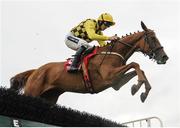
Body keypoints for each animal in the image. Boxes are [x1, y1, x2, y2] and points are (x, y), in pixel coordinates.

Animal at [10, 21, 169, 104]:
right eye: (153, 38)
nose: (164, 57)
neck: (113, 53)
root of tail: (35, 71)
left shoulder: (116, 83)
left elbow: (138, 69)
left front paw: (142, 90)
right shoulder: (109, 76)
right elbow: (135, 64)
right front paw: (138, 87)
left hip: (49, 97)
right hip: (32, 92)